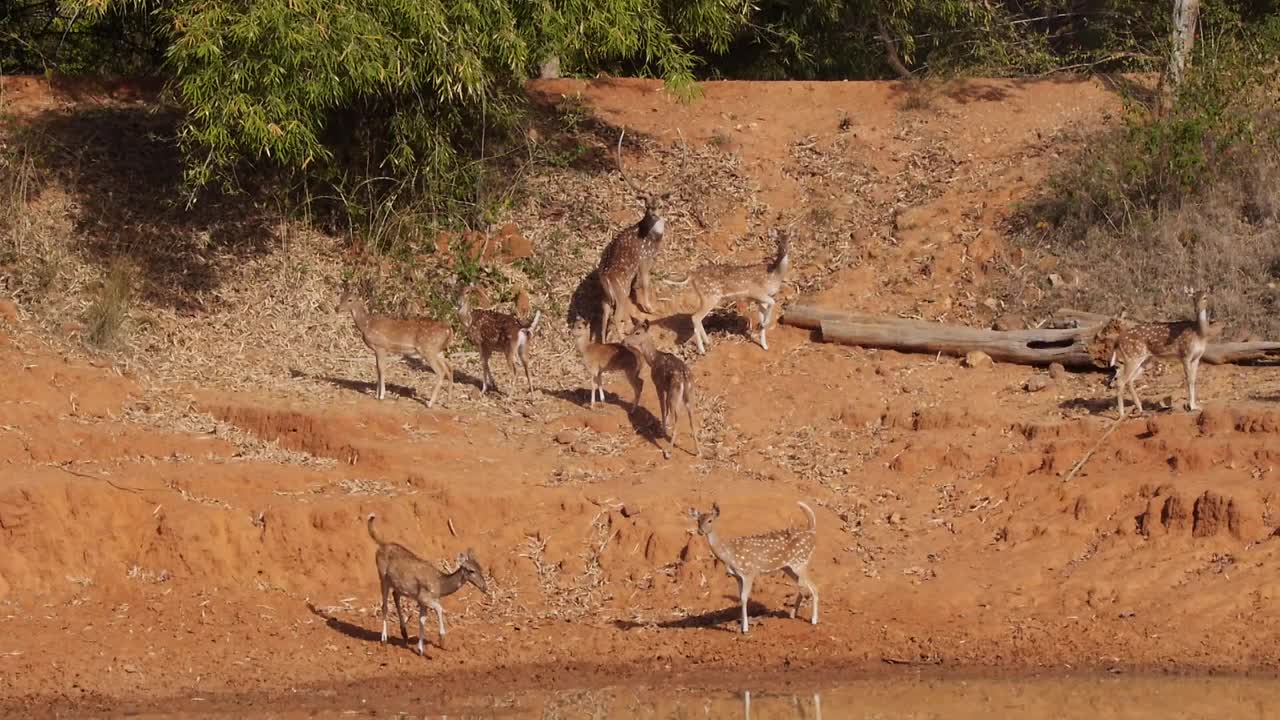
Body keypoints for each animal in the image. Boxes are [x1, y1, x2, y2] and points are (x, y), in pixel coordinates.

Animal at [373, 509, 491, 655]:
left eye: (480, 567)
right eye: (471, 570)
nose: (484, 587)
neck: (440, 585)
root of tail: (381, 545)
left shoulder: (423, 601)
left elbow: (422, 620)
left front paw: (420, 649)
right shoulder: (424, 598)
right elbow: (439, 609)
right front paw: (442, 640)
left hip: (398, 585)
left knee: (395, 596)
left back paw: (404, 633)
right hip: (382, 578)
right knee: (384, 605)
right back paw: (384, 639)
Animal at [619, 319, 701, 453]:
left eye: (637, 333)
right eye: (631, 330)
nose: (624, 341)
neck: (653, 360)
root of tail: (684, 378)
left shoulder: (658, 384)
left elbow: (662, 407)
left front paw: (663, 430)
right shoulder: (666, 388)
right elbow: (665, 407)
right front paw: (665, 425)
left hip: (675, 393)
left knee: (678, 417)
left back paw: (669, 450)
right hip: (689, 394)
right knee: (692, 417)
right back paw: (699, 451)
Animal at [691, 502, 819, 630]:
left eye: (710, 520)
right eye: (698, 520)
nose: (700, 531)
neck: (729, 556)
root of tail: (811, 532)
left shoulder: (748, 573)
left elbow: (744, 597)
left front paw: (745, 629)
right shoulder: (737, 576)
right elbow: (740, 597)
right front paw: (741, 625)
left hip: (801, 562)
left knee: (814, 587)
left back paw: (813, 620)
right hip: (788, 567)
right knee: (801, 586)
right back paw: (792, 614)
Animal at [1080, 289, 1208, 415]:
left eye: (1205, 297)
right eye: (1193, 298)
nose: (1197, 309)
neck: (1199, 334)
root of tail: (1118, 340)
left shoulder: (1197, 357)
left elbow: (1193, 379)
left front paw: (1195, 406)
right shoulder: (1185, 354)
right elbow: (1189, 379)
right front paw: (1192, 407)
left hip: (1144, 360)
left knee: (1130, 380)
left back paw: (1140, 408)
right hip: (1132, 357)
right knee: (1121, 381)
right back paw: (1122, 414)